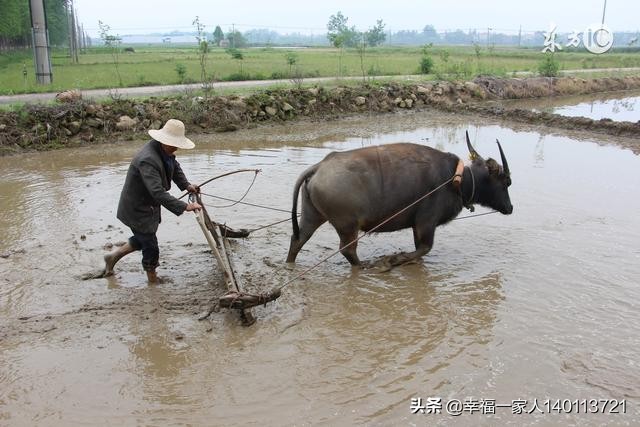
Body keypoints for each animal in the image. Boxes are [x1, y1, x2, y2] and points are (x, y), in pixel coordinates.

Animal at [288, 132, 512, 268]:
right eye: (506, 182)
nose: (510, 208)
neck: (457, 180)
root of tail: (319, 166)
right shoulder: (426, 222)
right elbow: (425, 248)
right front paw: (394, 260)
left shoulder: (416, 225)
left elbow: (419, 248)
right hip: (347, 226)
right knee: (348, 250)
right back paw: (364, 266)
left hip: (312, 215)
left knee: (298, 240)